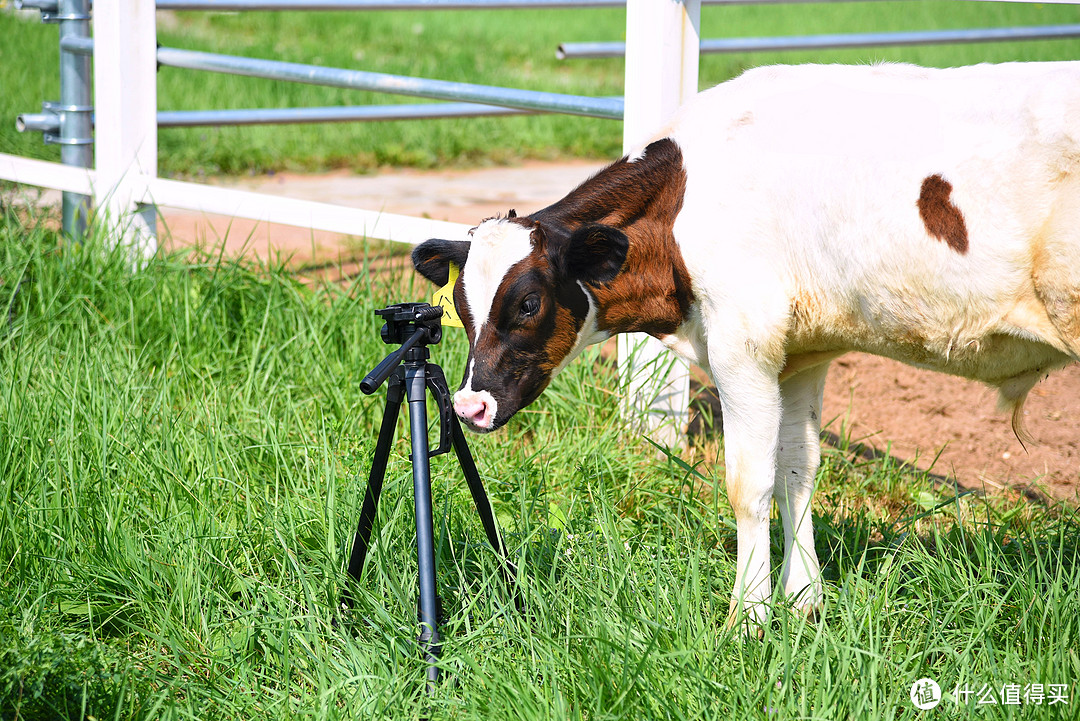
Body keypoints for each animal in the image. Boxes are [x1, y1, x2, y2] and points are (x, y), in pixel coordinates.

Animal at [410, 63, 1080, 626]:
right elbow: (798, 471)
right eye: (460, 309)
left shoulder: (743, 344)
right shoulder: (803, 354)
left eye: (528, 303)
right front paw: (804, 601)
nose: (470, 404)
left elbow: (749, 483)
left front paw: (748, 618)